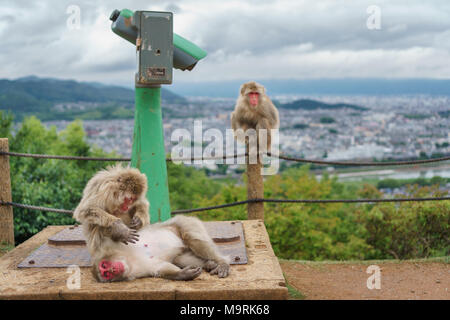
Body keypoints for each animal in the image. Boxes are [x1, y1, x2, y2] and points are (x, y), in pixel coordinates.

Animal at [92, 215, 232, 282]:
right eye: (106, 274)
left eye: (104, 266)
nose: (112, 269)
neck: (128, 259)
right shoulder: (139, 271)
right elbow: (160, 268)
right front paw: (183, 274)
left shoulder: (106, 246)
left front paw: (122, 230)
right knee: (179, 259)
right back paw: (210, 264)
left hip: (184, 222)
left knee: (194, 240)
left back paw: (222, 263)